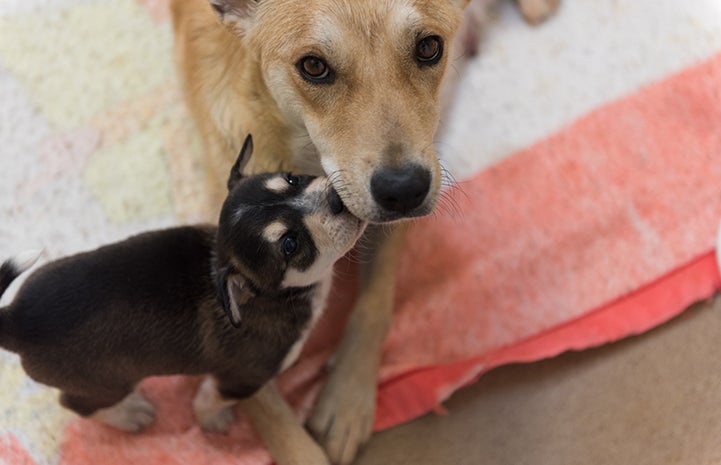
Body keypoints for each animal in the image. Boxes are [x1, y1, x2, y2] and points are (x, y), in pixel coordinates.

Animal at [0, 136, 362, 434]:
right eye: (290, 244)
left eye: (292, 178)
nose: (337, 198)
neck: (275, 295)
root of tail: (16, 320)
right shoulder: (241, 379)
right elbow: (211, 398)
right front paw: (211, 420)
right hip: (108, 381)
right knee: (75, 403)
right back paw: (128, 415)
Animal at [172, 1, 560, 462]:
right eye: (313, 66)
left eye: (429, 47)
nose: (404, 191)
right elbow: (266, 407)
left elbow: (374, 306)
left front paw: (347, 400)